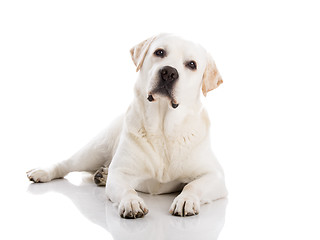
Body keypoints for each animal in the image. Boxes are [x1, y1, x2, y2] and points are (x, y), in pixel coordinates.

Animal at [26, 33, 228, 219]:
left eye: (192, 64)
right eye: (159, 52)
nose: (169, 72)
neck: (163, 129)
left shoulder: (215, 176)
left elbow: (192, 185)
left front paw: (185, 200)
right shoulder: (120, 174)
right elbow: (127, 189)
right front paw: (132, 202)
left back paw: (102, 175)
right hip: (94, 150)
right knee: (66, 164)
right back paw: (43, 172)